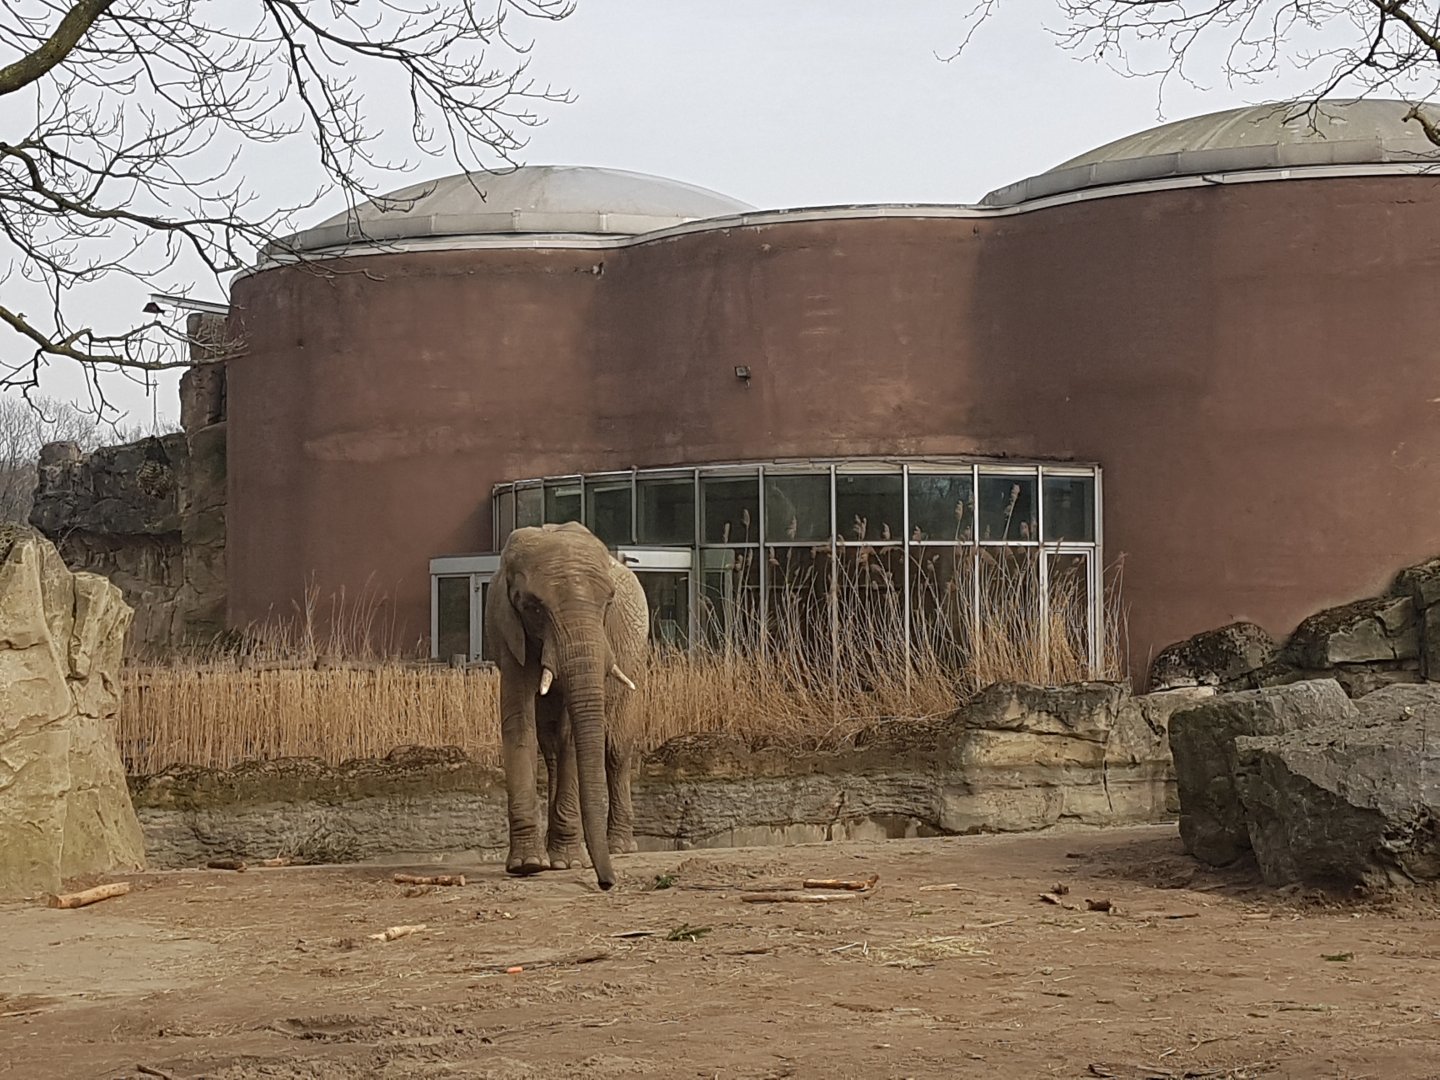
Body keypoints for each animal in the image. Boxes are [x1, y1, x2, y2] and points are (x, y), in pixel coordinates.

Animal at [484, 521, 648, 890]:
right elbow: (519, 721)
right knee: (551, 747)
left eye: (608, 603)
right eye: (533, 607)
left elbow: (574, 735)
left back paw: (619, 847)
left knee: (616, 749)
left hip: (633, 661)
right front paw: (528, 864)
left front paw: (568, 863)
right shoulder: (509, 631)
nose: (606, 883)